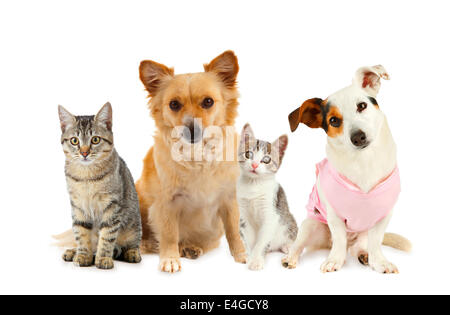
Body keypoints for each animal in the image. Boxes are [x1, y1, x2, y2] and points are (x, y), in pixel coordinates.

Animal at [58, 102, 142, 270]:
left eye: (95, 140)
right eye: (74, 141)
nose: (84, 153)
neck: (87, 176)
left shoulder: (112, 206)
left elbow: (107, 235)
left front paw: (103, 258)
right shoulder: (78, 207)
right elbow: (81, 233)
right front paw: (83, 255)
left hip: (133, 226)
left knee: (132, 244)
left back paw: (132, 253)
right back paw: (73, 252)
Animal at [136, 50, 246, 272]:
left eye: (208, 102)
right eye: (174, 105)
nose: (191, 128)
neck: (198, 155)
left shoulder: (229, 200)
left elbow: (233, 231)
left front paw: (241, 254)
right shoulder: (167, 204)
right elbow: (169, 234)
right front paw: (170, 259)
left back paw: (189, 248)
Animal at [237, 123, 298, 272]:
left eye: (266, 159)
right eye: (248, 154)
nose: (254, 165)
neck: (253, 184)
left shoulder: (271, 214)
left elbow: (262, 241)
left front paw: (256, 259)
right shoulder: (244, 217)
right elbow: (249, 239)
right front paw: (249, 255)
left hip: (289, 221)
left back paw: (287, 247)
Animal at [284, 66, 412, 274]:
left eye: (362, 106)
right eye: (334, 120)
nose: (358, 137)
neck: (364, 162)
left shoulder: (383, 216)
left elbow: (376, 241)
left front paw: (379, 261)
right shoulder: (334, 215)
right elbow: (338, 238)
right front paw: (334, 260)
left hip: (362, 232)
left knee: (358, 246)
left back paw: (363, 254)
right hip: (310, 225)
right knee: (301, 244)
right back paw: (290, 258)